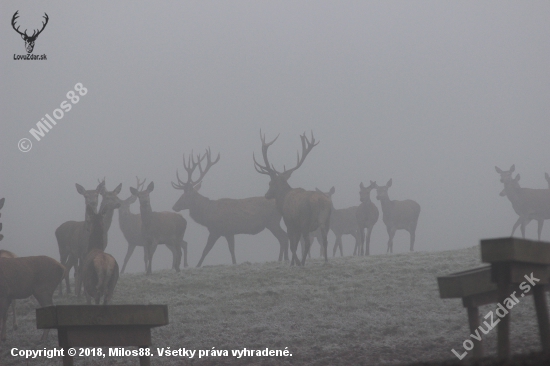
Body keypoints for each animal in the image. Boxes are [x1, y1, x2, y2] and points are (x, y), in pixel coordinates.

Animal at [254, 132, 332, 266]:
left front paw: (294, 263)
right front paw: (293, 262)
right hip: (326, 222)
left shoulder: (290, 222)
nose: (266, 195)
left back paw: (303, 263)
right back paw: (326, 261)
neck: (283, 200)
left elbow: (292, 245)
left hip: (306, 221)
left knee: (307, 243)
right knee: (325, 240)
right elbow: (294, 244)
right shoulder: (297, 225)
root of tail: (321, 202)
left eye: (270, 183)